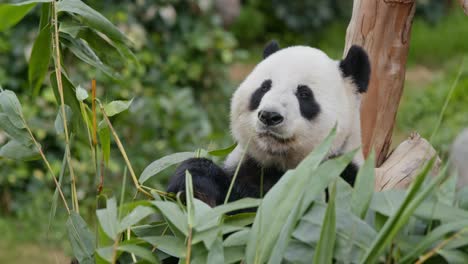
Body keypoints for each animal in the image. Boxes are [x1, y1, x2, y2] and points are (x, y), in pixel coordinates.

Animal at [167, 41, 370, 206]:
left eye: (304, 94)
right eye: (264, 87)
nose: (269, 116)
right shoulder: (246, 167)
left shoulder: (338, 179)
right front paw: (193, 182)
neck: (279, 163)